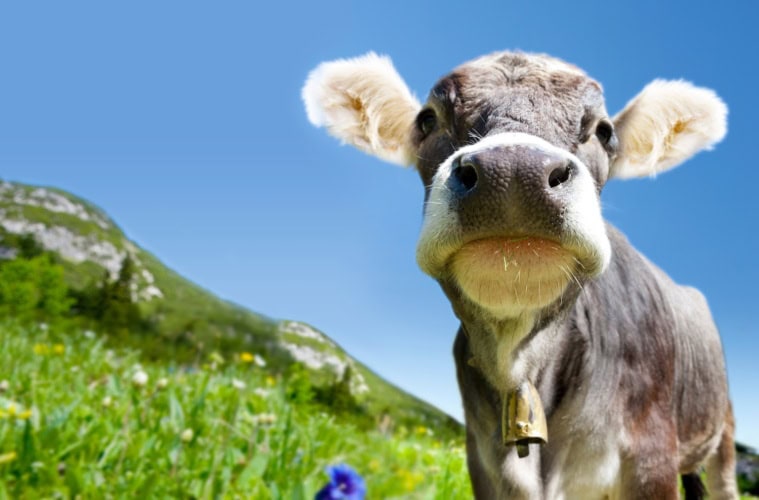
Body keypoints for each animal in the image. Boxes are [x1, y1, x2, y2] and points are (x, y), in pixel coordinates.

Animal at [302, 51, 737, 499]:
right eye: (426, 120)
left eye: (604, 131)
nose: (513, 172)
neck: (521, 366)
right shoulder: (484, 461)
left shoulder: (651, 456)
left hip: (720, 430)